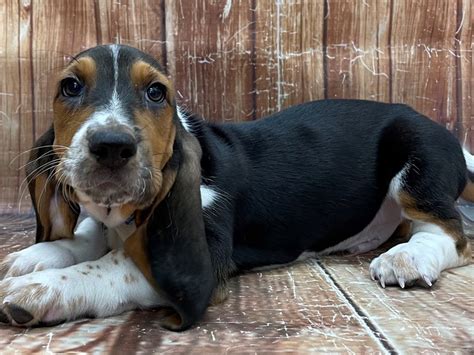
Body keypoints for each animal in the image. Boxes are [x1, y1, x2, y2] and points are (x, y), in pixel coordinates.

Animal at [0, 44, 472, 330]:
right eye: (70, 86)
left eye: (156, 93)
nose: (111, 145)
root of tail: (448, 136)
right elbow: (88, 236)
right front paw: (38, 255)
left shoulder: (202, 256)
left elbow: (112, 265)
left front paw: (39, 289)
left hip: (415, 161)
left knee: (451, 236)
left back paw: (408, 258)